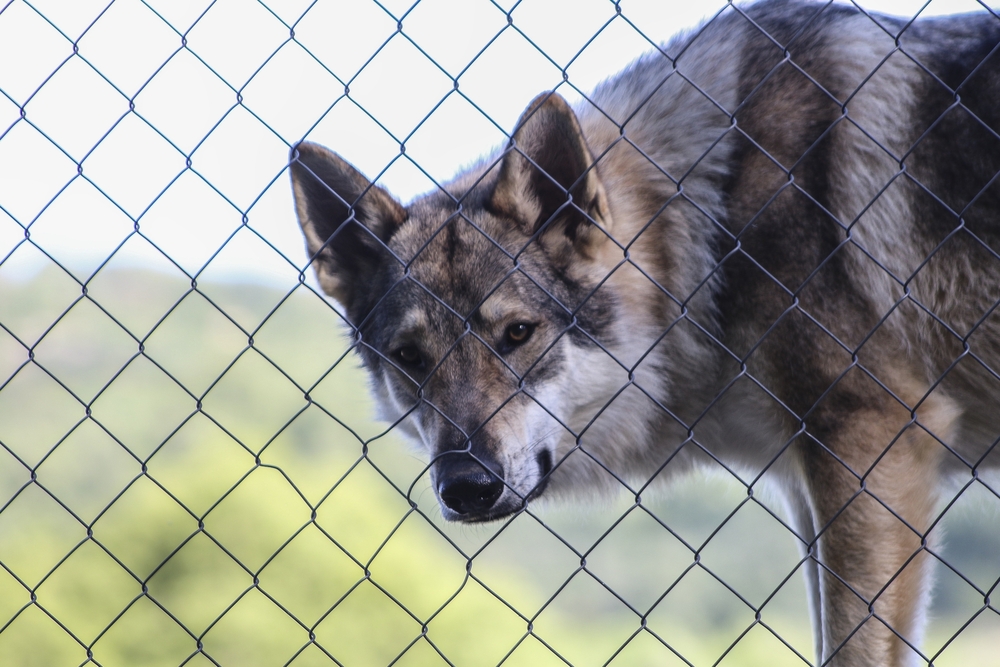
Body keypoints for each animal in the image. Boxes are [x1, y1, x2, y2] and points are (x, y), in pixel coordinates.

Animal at [288, 2, 1000, 664]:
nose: (465, 487)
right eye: (409, 357)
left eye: (517, 333)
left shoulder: (870, 445)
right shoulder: (815, 483)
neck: (709, 218)